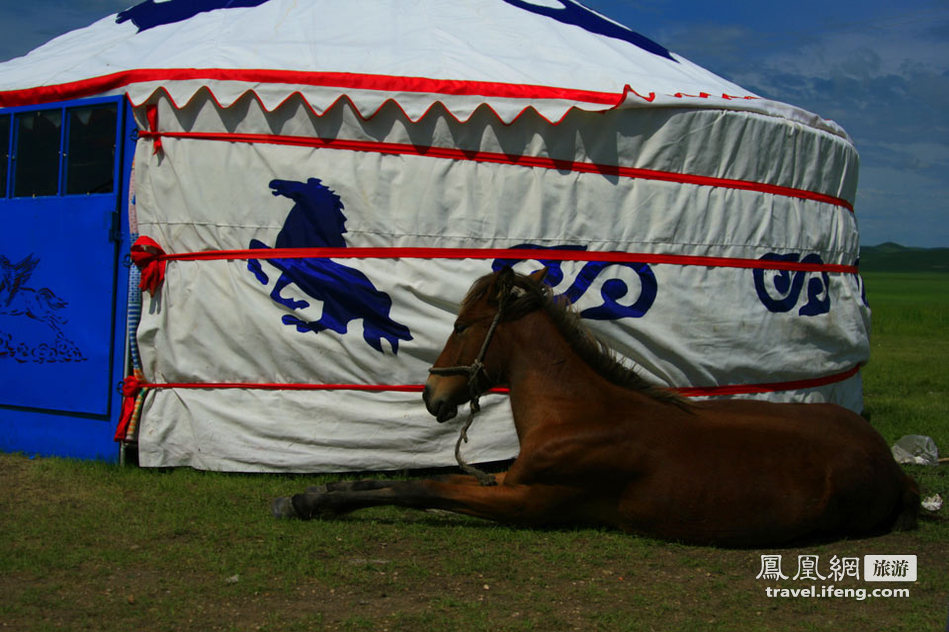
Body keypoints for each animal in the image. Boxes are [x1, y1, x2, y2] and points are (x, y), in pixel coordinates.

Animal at [276, 266, 920, 548]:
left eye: (461, 327)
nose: (432, 397)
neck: (578, 415)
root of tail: (890, 464)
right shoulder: (509, 477)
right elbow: (400, 479)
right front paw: (314, 493)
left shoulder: (528, 502)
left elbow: (421, 489)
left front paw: (309, 501)